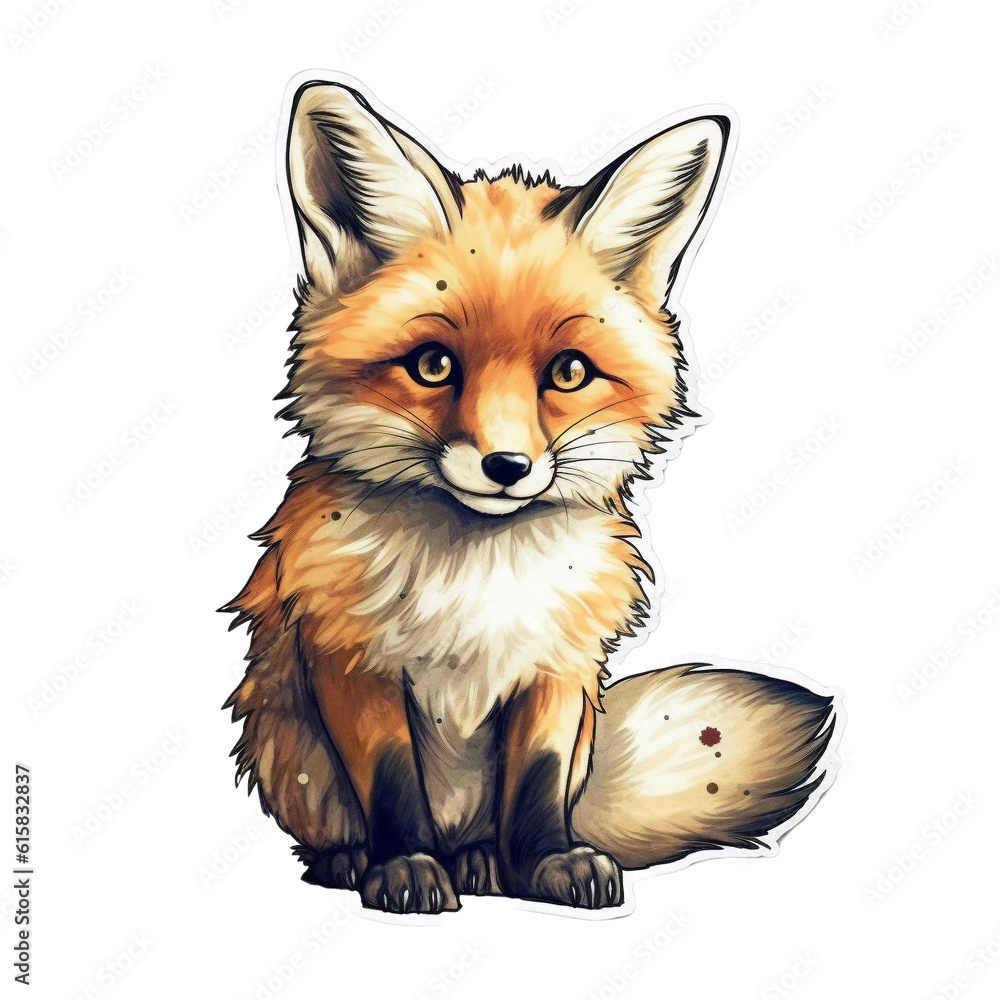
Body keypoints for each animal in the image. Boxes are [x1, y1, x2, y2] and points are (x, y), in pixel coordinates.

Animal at [224, 74, 841, 916]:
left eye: (569, 372)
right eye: (433, 365)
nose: (507, 465)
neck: (475, 580)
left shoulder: (557, 665)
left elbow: (539, 786)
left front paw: (549, 864)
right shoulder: (354, 660)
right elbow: (391, 781)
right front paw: (405, 866)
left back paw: (488, 863)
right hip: (291, 751)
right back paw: (361, 861)